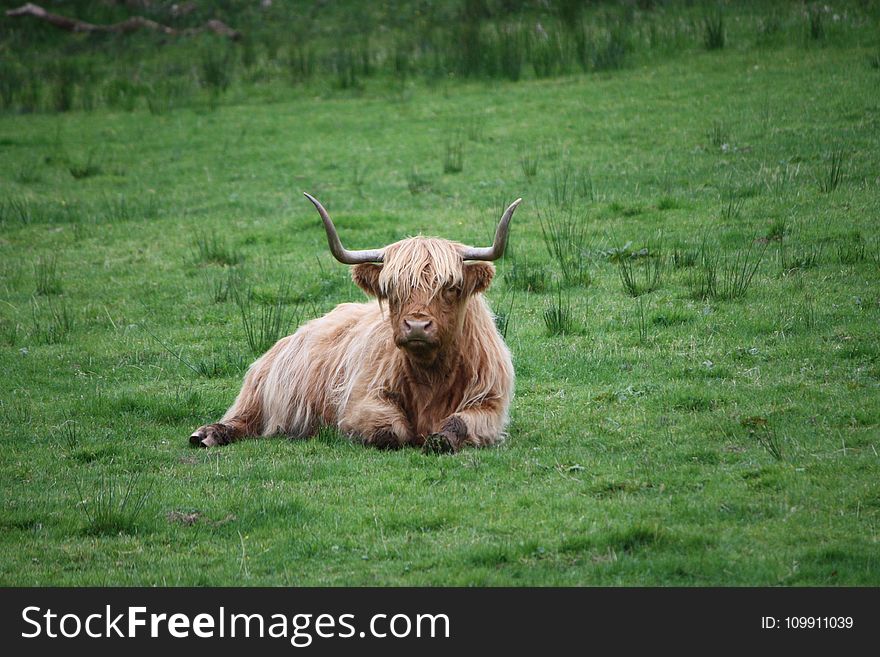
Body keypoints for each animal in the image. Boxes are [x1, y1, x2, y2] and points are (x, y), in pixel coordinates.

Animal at [189, 192, 520, 454]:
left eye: (451, 287)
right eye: (391, 288)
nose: (416, 327)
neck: (431, 374)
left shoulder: (490, 403)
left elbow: (459, 423)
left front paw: (439, 440)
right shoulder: (360, 400)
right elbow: (392, 431)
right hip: (260, 392)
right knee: (241, 418)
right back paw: (207, 434)